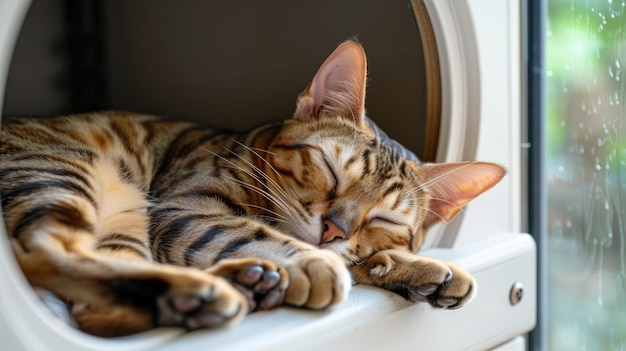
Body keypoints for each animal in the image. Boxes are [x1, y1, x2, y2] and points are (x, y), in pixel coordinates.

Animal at [0, 41, 504, 338]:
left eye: (383, 218)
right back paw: (216, 290)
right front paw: (310, 261)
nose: (333, 231)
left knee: (96, 310)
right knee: (48, 254)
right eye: (330, 170)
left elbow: (363, 258)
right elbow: (251, 233)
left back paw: (239, 284)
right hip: (64, 171)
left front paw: (416, 266)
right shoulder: (180, 207)